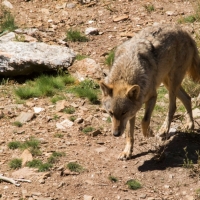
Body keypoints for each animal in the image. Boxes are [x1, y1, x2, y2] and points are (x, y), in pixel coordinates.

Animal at [101, 24, 200, 160]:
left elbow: (145, 120)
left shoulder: (153, 97)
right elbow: (129, 134)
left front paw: (149, 133)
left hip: (172, 84)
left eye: (123, 112)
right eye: (110, 113)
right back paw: (190, 124)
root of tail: (185, 32)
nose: (115, 134)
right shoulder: (133, 112)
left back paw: (165, 129)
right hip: (168, 83)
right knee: (187, 98)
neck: (126, 72)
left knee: (173, 106)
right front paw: (127, 152)